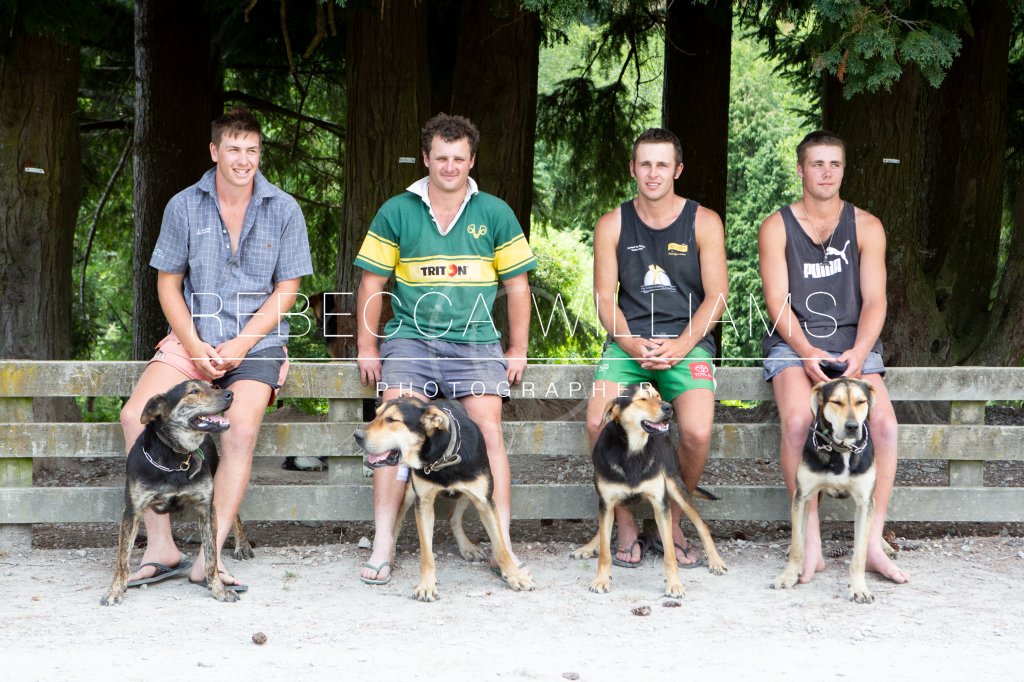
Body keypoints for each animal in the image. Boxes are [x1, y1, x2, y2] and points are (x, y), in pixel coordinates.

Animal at [101, 380, 251, 605]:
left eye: (212, 386)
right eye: (194, 391)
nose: (230, 394)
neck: (176, 457)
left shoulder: (207, 508)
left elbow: (211, 557)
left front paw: (219, 589)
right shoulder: (131, 512)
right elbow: (122, 560)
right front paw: (115, 590)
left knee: (235, 514)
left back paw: (242, 544)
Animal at [353, 397, 534, 601]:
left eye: (392, 420)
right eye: (376, 415)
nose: (357, 435)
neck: (441, 457)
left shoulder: (485, 502)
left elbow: (501, 546)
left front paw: (515, 576)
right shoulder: (423, 503)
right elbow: (426, 554)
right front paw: (426, 585)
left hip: (467, 493)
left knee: (453, 518)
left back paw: (467, 547)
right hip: (409, 493)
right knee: (397, 520)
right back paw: (388, 552)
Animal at [570, 384, 728, 597]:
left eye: (658, 396)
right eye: (642, 399)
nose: (669, 407)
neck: (633, 450)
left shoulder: (661, 504)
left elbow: (670, 554)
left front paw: (674, 584)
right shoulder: (607, 502)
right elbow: (604, 551)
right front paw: (601, 579)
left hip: (675, 484)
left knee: (701, 525)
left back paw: (716, 561)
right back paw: (589, 546)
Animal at [771, 376, 877, 603]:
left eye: (861, 401)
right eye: (836, 402)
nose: (852, 426)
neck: (841, 450)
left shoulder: (865, 502)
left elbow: (860, 553)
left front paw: (859, 588)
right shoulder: (802, 496)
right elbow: (797, 544)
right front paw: (789, 576)